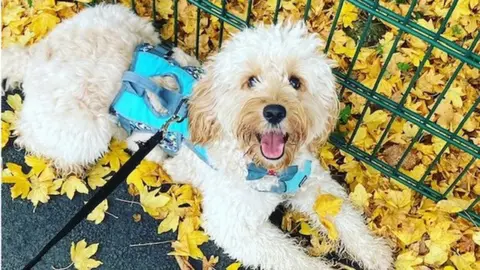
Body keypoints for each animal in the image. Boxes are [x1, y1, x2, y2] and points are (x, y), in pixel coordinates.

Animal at [0, 4, 394, 270]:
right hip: (84, 132)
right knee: (29, 133)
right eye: (250, 81)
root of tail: (36, 54)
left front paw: (375, 253)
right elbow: (292, 258)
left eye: (296, 82)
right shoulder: (236, 227)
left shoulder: (311, 180)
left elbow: (344, 216)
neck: (267, 169)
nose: (274, 111)